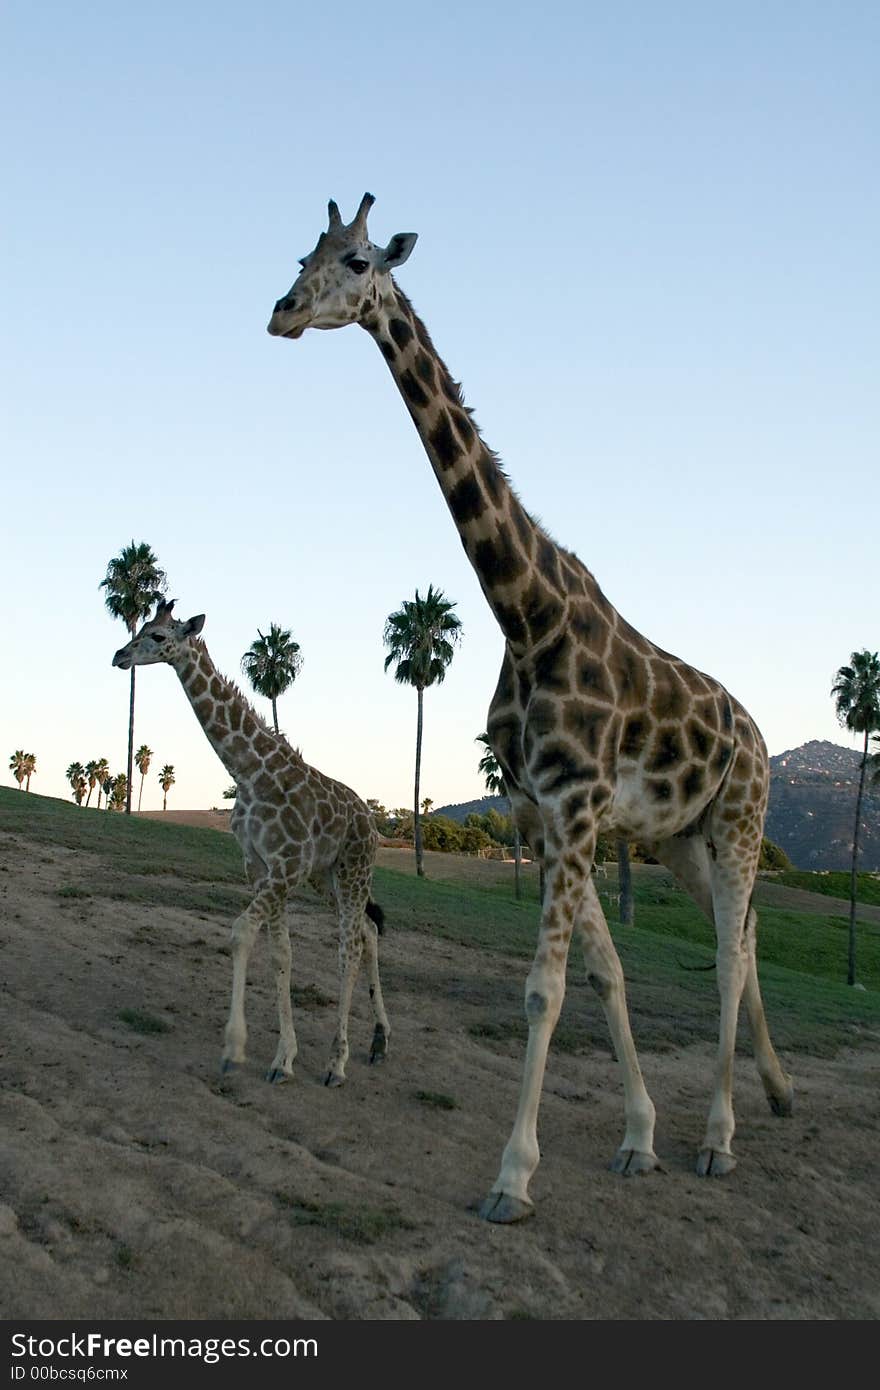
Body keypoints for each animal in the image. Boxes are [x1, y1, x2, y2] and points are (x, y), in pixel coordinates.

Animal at [111, 603, 389, 1089]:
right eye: (140, 627)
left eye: (159, 636)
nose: (119, 656)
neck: (247, 772)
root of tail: (371, 823)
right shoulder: (260, 867)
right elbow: (281, 953)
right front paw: (284, 1058)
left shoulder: (285, 867)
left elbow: (242, 933)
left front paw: (233, 1049)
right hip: (327, 876)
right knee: (368, 932)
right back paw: (378, 1042)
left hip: (355, 868)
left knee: (349, 948)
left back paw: (337, 1063)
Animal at [264, 193, 795, 1217]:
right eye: (302, 253)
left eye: (357, 261)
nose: (281, 311)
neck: (525, 612)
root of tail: (754, 732)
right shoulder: (538, 812)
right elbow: (602, 974)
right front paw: (637, 1137)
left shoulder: (579, 807)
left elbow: (545, 991)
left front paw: (512, 1177)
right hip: (683, 840)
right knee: (743, 944)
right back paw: (776, 1097)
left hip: (741, 821)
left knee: (730, 955)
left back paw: (722, 1138)